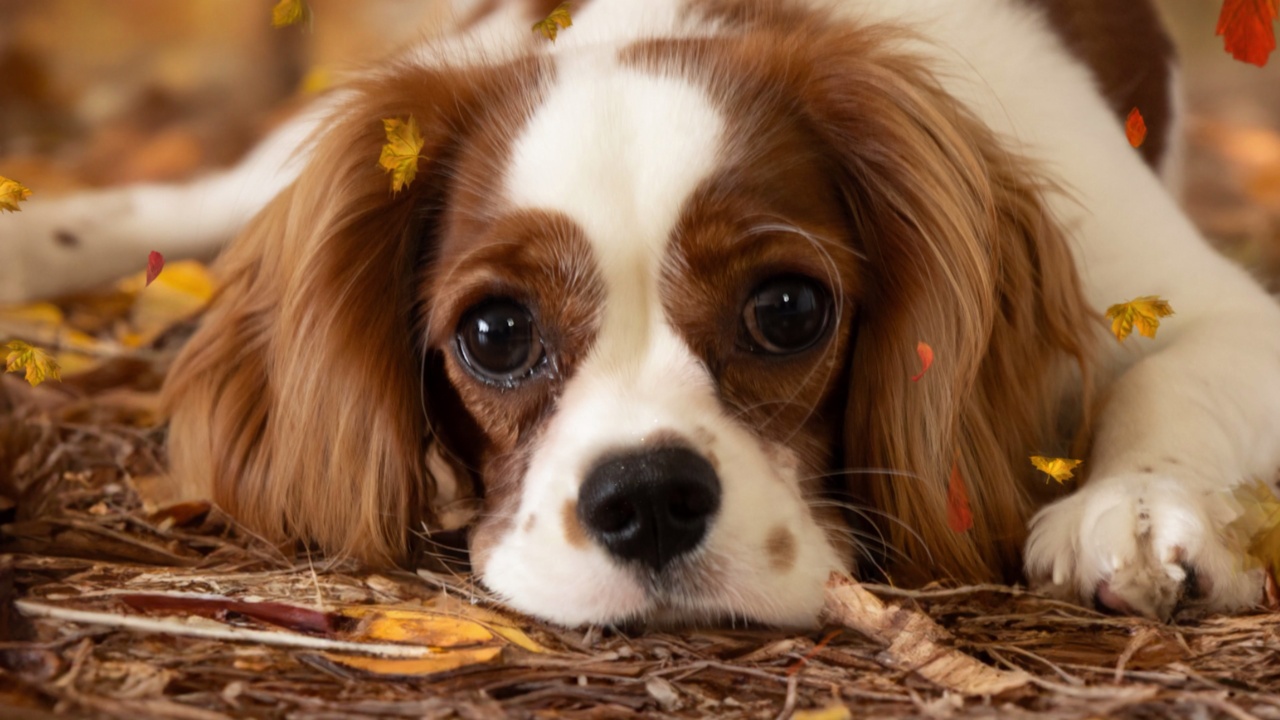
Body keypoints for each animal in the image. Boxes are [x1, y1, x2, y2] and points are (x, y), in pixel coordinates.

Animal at [4, 0, 1279, 628]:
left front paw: (1135, 511)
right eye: (495, 333)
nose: (648, 500)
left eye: (786, 309)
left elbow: (1174, 374)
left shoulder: (1209, 300)